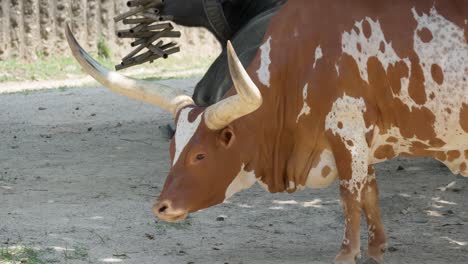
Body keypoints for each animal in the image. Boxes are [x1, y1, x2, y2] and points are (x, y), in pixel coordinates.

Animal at [66, 1, 468, 262]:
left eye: (200, 154)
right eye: (172, 150)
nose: (161, 207)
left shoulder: (347, 133)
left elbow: (351, 198)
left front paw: (347, 254)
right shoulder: (361, 145)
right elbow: (370, 193)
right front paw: (377, 249)